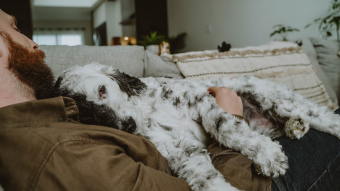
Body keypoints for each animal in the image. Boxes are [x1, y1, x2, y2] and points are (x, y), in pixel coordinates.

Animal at [55, 63, 340, 190]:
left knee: (325, 117)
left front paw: (268, 156)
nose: (128, 124)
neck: (149, 112)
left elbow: (226, 128)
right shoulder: (180, 150)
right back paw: (295, 127)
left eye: (102, 90)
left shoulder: (204, 103)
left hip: (275, 99)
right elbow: (204, 176)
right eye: (92, 116)